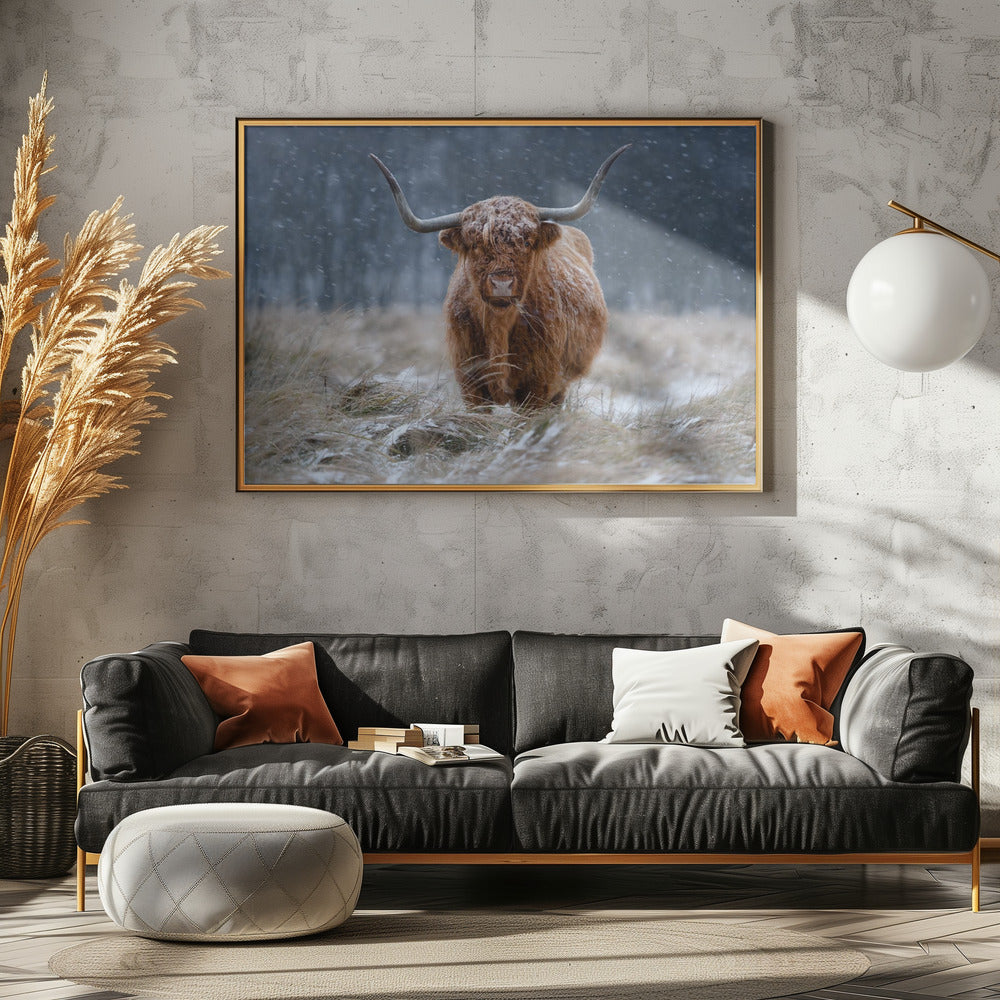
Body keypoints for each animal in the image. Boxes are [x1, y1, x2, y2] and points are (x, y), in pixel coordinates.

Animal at [370, 145, 630, 410]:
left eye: (526, 242)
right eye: (475, 244)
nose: (502, 284)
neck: (499, 326)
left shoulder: (539, 385)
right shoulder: (470, 381)